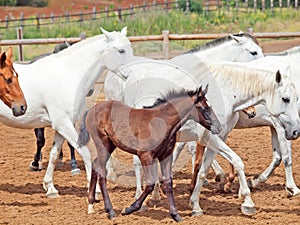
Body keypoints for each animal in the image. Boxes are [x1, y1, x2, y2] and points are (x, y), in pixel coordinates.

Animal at [0, 27, 134, 198]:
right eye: (121, 50)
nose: (133, 73)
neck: (68, 76)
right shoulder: (63, 124)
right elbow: (84, 152)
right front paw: (95, 191)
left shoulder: (61, 126)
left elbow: (54, 154)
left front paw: (50, 188)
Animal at [78, 85, 221, 222]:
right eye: (203, 108)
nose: (218, 127)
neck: (162, 123)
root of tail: (92, 109)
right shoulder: (145, 156)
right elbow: (150, 184)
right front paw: (129, 209)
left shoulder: (166, 156)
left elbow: (168, 183)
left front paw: (175, 215)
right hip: (103, 144)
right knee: (101, 172)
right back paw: (110, 211)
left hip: (110, 146)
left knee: (95, 165)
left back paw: (91, 204)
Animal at [118, 59, 300, 217]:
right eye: (285, 99)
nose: (295, 131)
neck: (226, 95)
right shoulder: (210, 137)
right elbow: (238, 161)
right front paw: (248, 202)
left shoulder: (218, 138)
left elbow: (203, 171)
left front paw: (195, 205)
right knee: (137, 164)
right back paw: (138, 200)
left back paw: (154, 197)